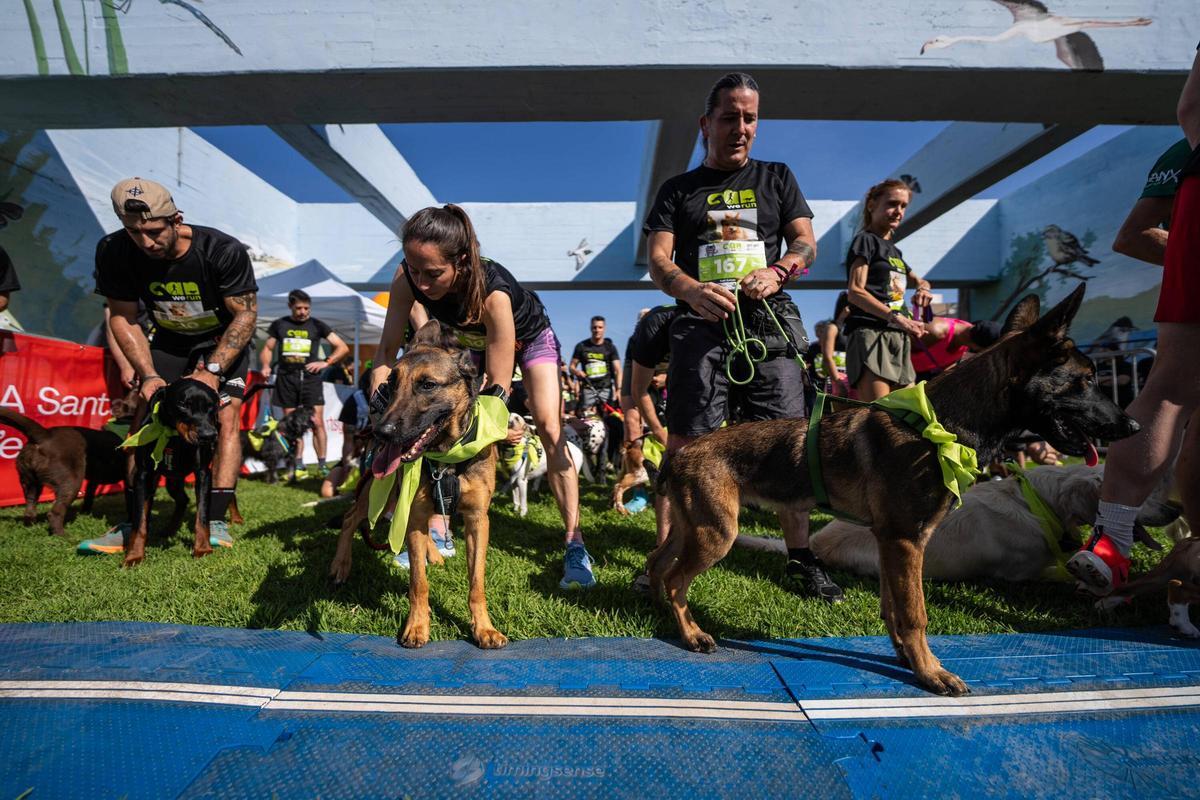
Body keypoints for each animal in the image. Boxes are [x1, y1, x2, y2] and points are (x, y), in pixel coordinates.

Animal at [125, 379, 222, 566]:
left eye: (212, 407)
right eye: (183, 405)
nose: (209, 436)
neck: (174, 439)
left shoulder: (203, 475)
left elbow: (202, 516)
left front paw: (203, 549)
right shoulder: (143, 476)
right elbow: (139, 521)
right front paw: (134, 555)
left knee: (184, 500)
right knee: (180, 500)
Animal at [326, 319, 504, 652]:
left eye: (428, 385)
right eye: (392, 382)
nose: (383, 433)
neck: (446, 454)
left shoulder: (477, 520)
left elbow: (477, 583)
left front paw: (484, 628)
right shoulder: (413, 512)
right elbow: (418, 583)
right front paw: (417, 626)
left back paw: (433, 554)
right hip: (379, 492)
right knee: (349, 518)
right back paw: (341, 565)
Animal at [652, 286, 1137, 695]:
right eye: (1086, 380)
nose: (1132, 426)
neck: (939, 425)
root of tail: (682, 452)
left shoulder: (892, 543)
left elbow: (893, 608)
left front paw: (907, 659)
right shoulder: (906, 540)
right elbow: (915, 613)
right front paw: (931, 672)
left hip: (692, 528)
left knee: (659, 564)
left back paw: (658, 607)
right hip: (718, 534)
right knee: (676, 579)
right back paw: (692, 634)